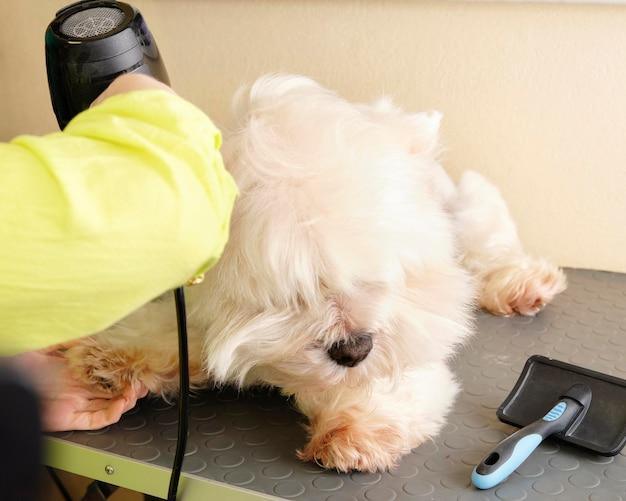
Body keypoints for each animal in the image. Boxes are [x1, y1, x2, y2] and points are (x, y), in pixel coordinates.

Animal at [64, 73, 564, 468]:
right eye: (292, 290)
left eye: (379, 276)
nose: (354, 349)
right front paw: (112, 357)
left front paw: (356, 425)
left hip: (463, 206)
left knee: (487, 236)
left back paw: (520, 284)